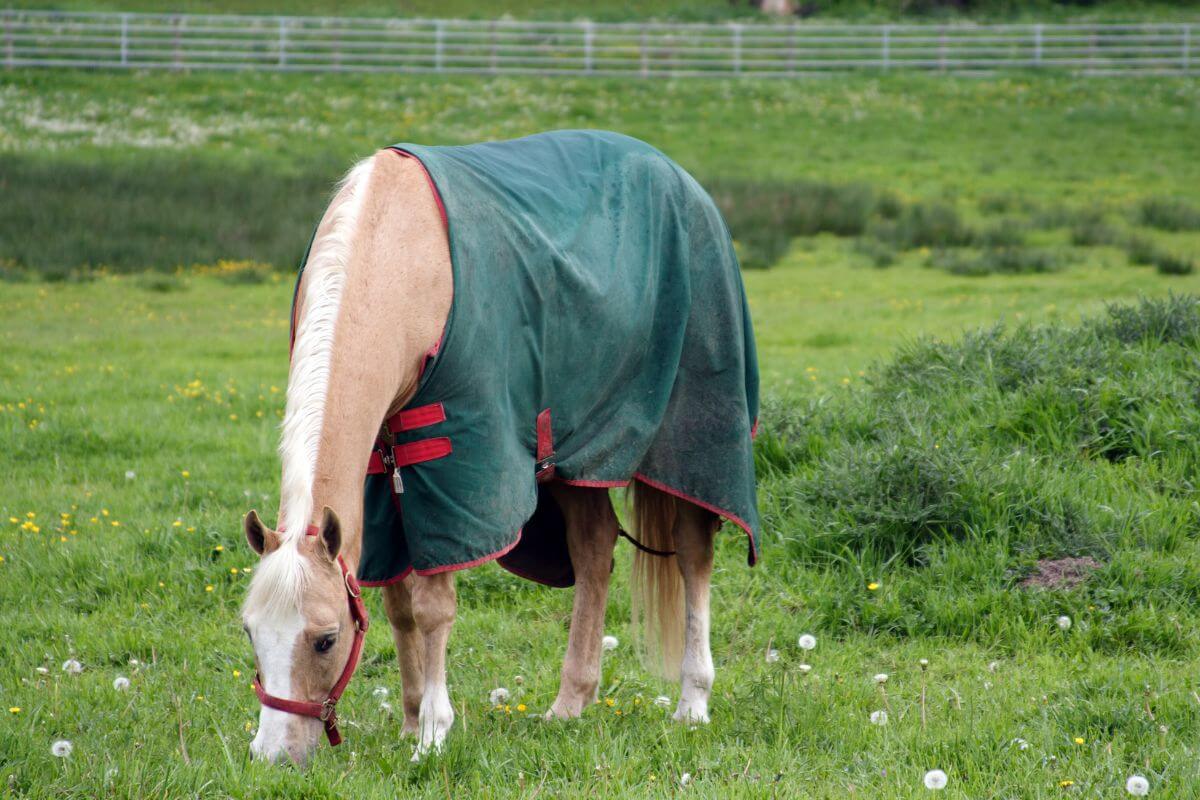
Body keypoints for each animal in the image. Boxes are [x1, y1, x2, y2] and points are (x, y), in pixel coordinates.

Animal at [240, 130, 758, 762]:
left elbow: (433, 608)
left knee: (692, 552)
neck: (401, 258)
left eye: (324, 640)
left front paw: (433, 733)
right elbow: (396, 603)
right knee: (593, 548)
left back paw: (692, 700)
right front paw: (410, 720)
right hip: (577, 459)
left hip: (688, 441)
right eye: (250, 632)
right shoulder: (383, 471)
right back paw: (571, 702)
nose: (272, 755)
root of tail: (683, 180)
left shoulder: (455, 464)